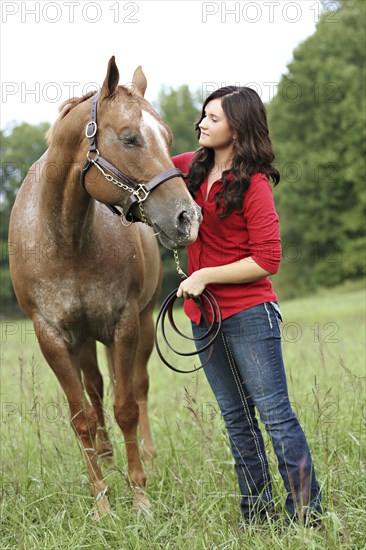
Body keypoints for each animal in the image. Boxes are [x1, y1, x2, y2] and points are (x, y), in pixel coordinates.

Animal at [8, 56, 202, 516]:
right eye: (130, 137)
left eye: (168, 137)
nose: (188, 217)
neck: (66, 240)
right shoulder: (53, 338)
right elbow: (82, 415)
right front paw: (101, 502)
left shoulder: (125, 324)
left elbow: (127, 405)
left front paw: (140, 495)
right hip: (83, 341)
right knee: (96, 392)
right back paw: (107, 457)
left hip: (142, 325)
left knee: (135, 386)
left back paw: (143, 453)